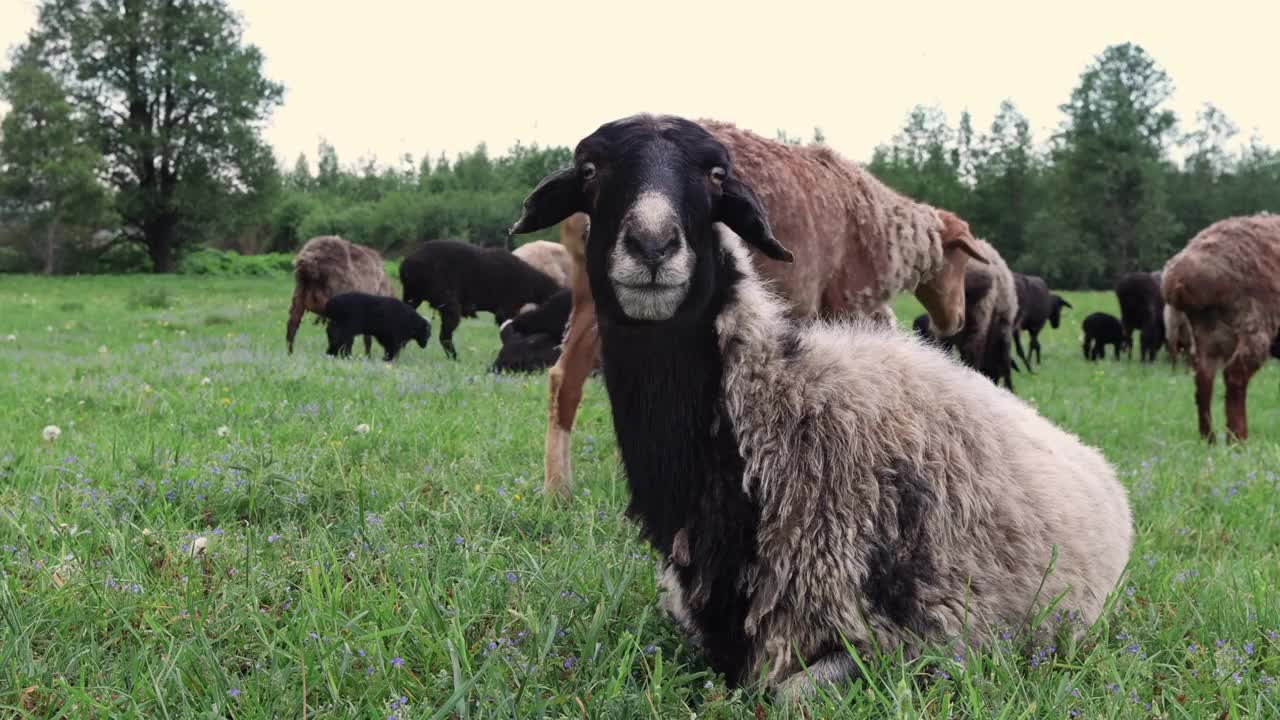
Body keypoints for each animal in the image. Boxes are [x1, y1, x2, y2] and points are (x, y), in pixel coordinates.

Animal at [399, 238, 560, 358]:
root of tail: (407, 265)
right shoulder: (505, 309)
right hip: (446, 300)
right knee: (445, 336)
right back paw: (455, 359)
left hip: (412, 295)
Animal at [519, 119, 988, 499]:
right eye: (960, 259)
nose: (957, 321)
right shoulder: (844, 303)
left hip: (590, 295)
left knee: (564, 378)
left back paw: (558, 491)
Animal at [1162, 210, 1280, 440]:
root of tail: (1179, 277)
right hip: (1253, 321)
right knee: (1234, 376)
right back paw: (1237, 439)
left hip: (1210, 331)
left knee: (1203, 379)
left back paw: (1209, 438)